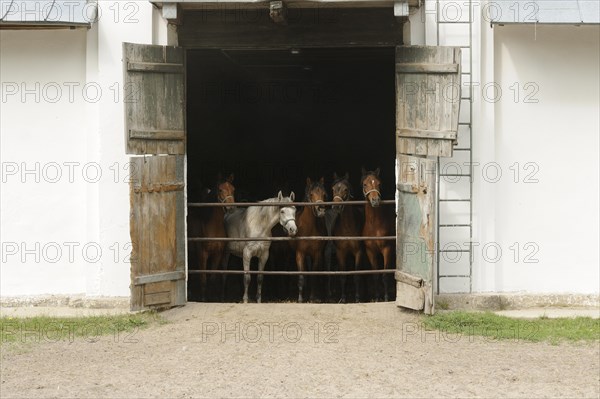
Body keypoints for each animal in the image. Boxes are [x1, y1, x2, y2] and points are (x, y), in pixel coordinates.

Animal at [189, 173, 236, 302]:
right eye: (220, 189)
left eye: (233, 189)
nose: (231, 209)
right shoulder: (202, 254)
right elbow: (203, 279)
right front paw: (203, 299)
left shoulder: (218, 254)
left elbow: (212, 278)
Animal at [330, 173, 364, 304]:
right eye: (333, 189)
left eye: (346, 189)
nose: (336, 207)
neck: (347, 227)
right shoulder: (341, 252)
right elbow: (343, 275)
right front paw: (343, 298)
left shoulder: (358, 252)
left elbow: (357, 275)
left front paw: (358, 298)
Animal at [360, 167, 394, 302]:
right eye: (365, 184)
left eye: (379, 184)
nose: (375, 201)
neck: (374, 225)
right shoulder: (370, 251)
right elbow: (375, 275)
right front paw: (377, 298)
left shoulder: (387, 249)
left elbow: (385, 274)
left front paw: (386, 298)